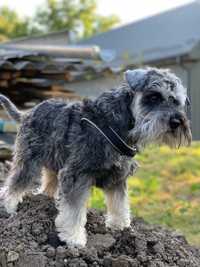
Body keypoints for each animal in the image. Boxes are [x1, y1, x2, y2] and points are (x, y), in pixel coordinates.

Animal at [0, 68, 191, 248]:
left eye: (176, 101)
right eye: (153, 96)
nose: (176, 122)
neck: (116, 123)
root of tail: (27, 113)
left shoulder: (118, 177)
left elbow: (119, 203)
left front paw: (120, 226)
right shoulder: (77, 174)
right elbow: (74, 211)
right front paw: (73, 238)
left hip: (54, 162)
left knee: (48, 184)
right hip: (28, 161)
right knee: (15, 183)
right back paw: (9, 207)